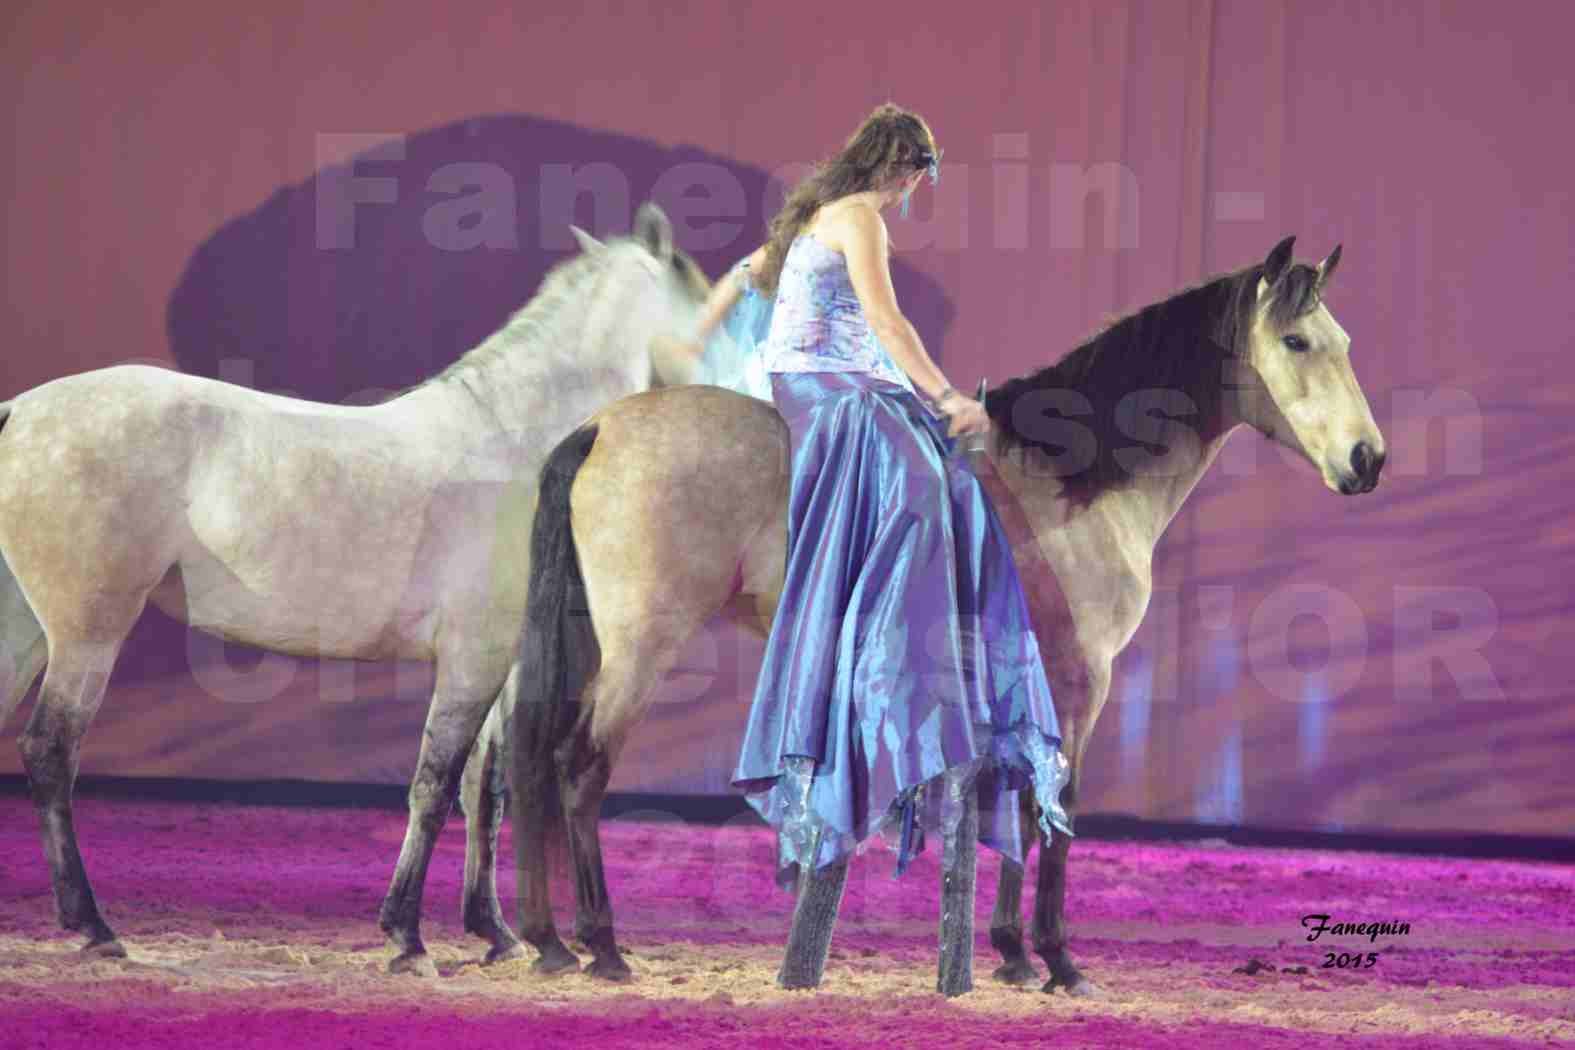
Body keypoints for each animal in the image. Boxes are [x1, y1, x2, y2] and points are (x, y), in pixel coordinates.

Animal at [0, 201, 724, 976]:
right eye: (708, 300)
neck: (510, 443)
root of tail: (22, 413)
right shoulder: (472, 657)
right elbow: (434, 785)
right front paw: (406, 937)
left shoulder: (498, 665)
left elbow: (483, 790)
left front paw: (491, 931)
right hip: (86, 634)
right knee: (51, 752)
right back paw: (94, 926)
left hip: (28, 633)